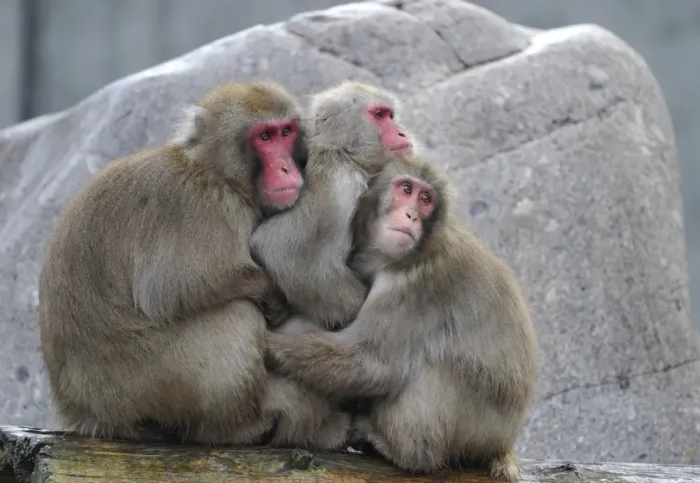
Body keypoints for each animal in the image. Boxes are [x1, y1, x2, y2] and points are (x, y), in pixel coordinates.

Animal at [38, 81, 351, 449]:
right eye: (264, 137)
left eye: (286, 132)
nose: (288, 168)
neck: (219, 175)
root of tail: (76, 408)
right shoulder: (198, 209)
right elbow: (172, 289)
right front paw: (271, 295)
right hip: (140, 384)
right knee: (236, 314)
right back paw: (234, 429)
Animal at [250, 80, 414, 331]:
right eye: (379, 115)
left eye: (391, 115)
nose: (401, 132)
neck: (344, 152)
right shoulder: (338, 184)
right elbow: (281, 250)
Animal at [265, 155, 540, 482]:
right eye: (406, 189)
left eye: (426, 199)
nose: (411, 215)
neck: (409, 256)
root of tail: (504, 441)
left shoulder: (418, 287)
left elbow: (373, 363)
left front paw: (267, 345)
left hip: (478, 428)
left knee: (428, 370)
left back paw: (407, 452)